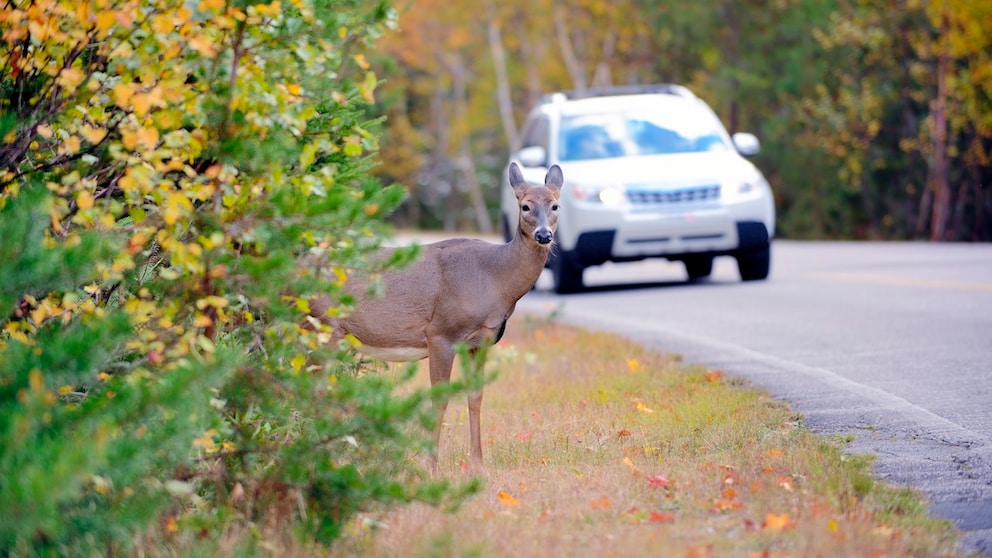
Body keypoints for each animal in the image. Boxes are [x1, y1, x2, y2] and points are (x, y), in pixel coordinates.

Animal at [312, 163, 560, 472]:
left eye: (555, 205)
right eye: (525, 206)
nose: (543, 235)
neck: (494, 277)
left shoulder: (481, 340)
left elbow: (475, 396)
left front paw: (478, 463)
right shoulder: (441, 333)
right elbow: (439, 400)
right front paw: (431, 465)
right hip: (323, 325)